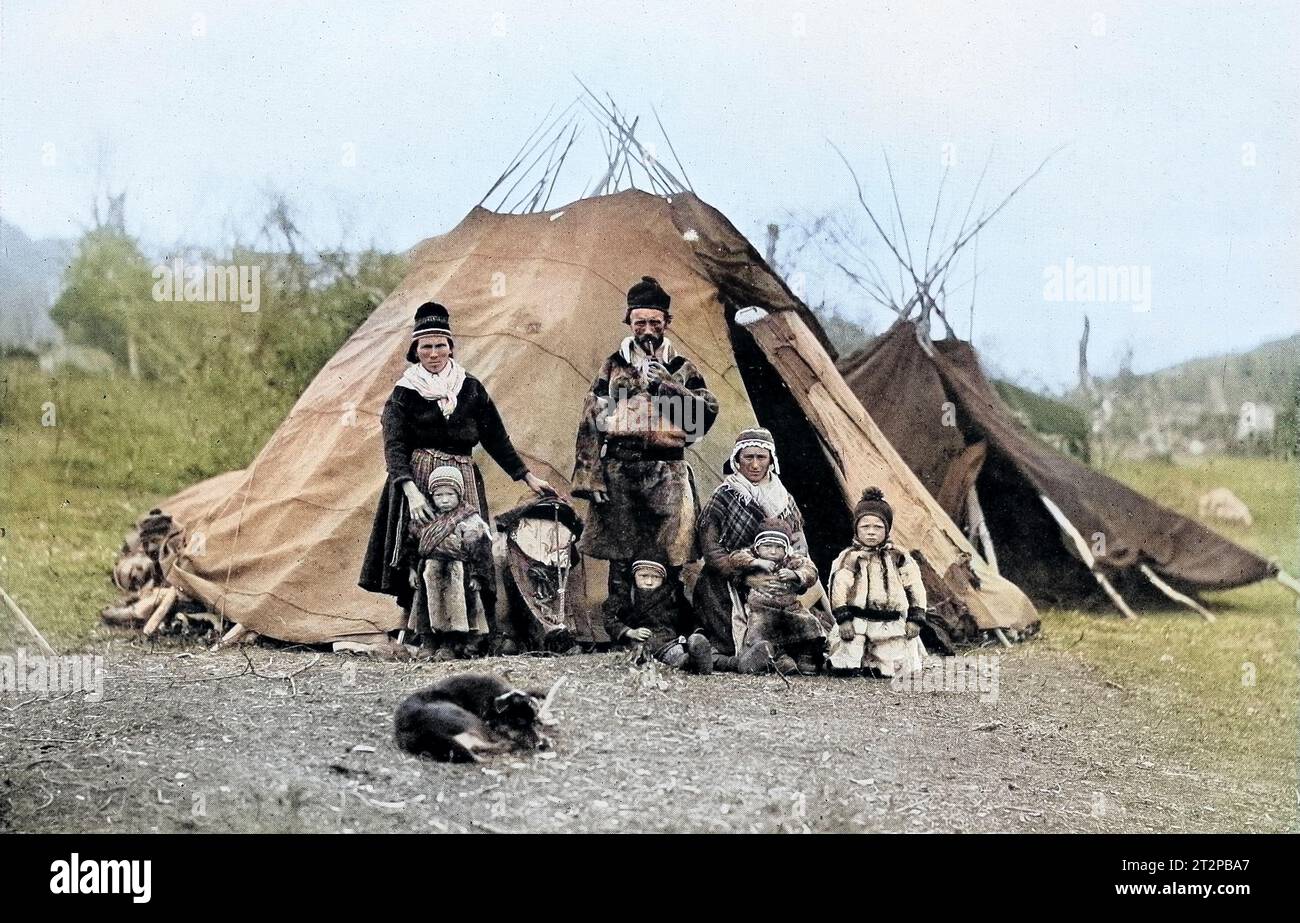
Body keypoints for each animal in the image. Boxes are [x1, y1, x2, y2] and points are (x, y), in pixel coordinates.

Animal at [395, 676, 559, 764]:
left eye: (533, 722)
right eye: (518, 723)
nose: (538, 743)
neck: (492, 700)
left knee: (480, 747)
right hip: (467, 718)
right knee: (494, 743)